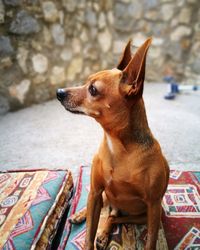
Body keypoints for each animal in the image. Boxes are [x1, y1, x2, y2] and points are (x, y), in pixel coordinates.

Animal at [57, 37, 170, 250]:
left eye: (93, 90)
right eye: (86, 81)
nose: (59, 92)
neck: (117, 146)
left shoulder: (153, 207)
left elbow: (150, 240)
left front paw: (100, 234)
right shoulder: (95, 192)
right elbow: (88, 235)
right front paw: (90, 233)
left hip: (142, 216)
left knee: (113, 217)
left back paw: (103, 234)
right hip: (101, 197)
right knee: (105, 211)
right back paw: (80, 215)